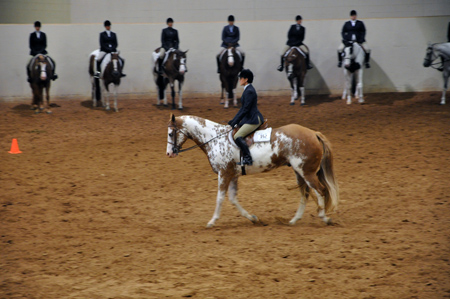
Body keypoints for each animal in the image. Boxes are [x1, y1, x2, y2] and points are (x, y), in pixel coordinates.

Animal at [167, 113, 340, 229]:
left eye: (170, 133)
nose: (169, 154)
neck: (215, 138)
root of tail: (314, 133)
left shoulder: (224, 174)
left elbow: (220, 198)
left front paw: (212, 221)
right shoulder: (232, 175)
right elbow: (233, 199)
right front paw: (253, 218)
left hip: (307, 172)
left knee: (320, 190)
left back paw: (325, 218)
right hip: (299, 172)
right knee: (305, 193)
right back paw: (293, 220)